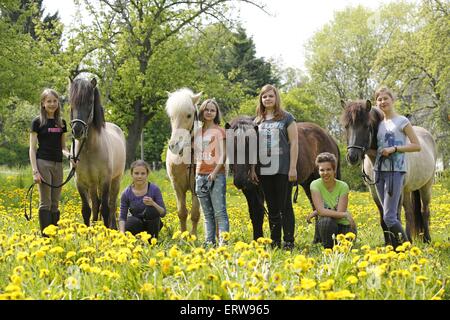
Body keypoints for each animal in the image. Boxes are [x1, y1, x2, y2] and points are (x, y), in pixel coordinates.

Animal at [69, 77, 127, 228]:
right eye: (71, 102)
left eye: (90, 102)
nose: (77, 130)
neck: (89, 149)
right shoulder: (80, 182)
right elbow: (86, 210)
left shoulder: (105, 180)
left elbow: (106, 209)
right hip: (93, 185)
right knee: (95, 205)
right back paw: (95, 224)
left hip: (115, 181)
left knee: (112, 205)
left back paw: (113, 227)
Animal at [165, 89, 202, 234]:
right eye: (171, 116)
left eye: (189, 115)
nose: (174, 146)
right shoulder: (177, 186)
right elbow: (182, 213)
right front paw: (183, 235)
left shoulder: (196, 187)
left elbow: (195, 214)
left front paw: (193, 236)